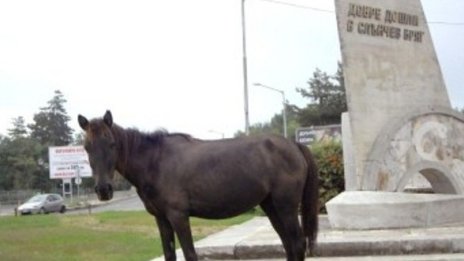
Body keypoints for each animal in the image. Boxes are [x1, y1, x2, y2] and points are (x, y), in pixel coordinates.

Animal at [79, 110, 320, 260]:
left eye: (112, 144)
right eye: (86, 147)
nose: (103, 190)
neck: (155, 161)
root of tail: (294, 145)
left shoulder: (178, 216)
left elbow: (190, 254)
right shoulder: (161, 219)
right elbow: (169, 255)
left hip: (286, 207)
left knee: (297, 244)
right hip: (271, 206)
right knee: (288, 244)